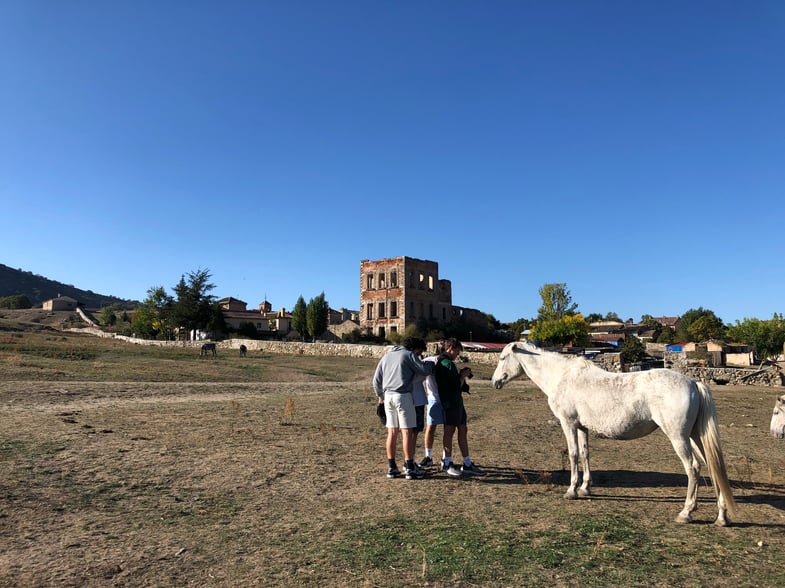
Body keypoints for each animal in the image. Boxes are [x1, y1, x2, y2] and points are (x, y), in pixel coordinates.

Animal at [490, 338, 736, 524]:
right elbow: (585, 454)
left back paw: (686, 512)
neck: (562, 377)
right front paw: (585, 488)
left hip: (679, 438)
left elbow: (573, 455)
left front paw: (571, 490)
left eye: (502, 358)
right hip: (695, 437)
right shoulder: (582, 427)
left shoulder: (568, 424)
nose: (495, 382)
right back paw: (721, 517)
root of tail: (694, 383)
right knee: (712, 467)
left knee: (693, 468)